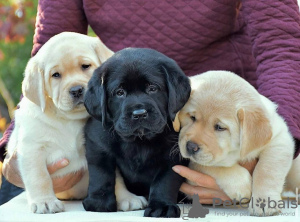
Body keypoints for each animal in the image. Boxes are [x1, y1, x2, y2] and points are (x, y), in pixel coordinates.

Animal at [6, 32, 147, 214]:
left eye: (85, 66)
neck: (69, 120)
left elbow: (115, 178)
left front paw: (127, 198)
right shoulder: (32, 149)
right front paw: (45, 201)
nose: (77, 90)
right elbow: (39, 177)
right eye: (56, 75)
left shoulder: (104, 148)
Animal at [82, 48, 190, 217]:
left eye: (152, 88)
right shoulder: (97, 145)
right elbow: (101, 173)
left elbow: (165, 181)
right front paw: (99, 202)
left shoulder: (173, 156)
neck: (139, 140)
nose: (139, 114)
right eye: (119, 92)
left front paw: (162, 206)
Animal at [173, 70, 296, 215]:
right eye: (192, 117)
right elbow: (212, 166)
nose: (191, 147)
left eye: (219, 127)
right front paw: (241, 184)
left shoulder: (280, 139)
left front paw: (263, 201)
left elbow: (267, 170)